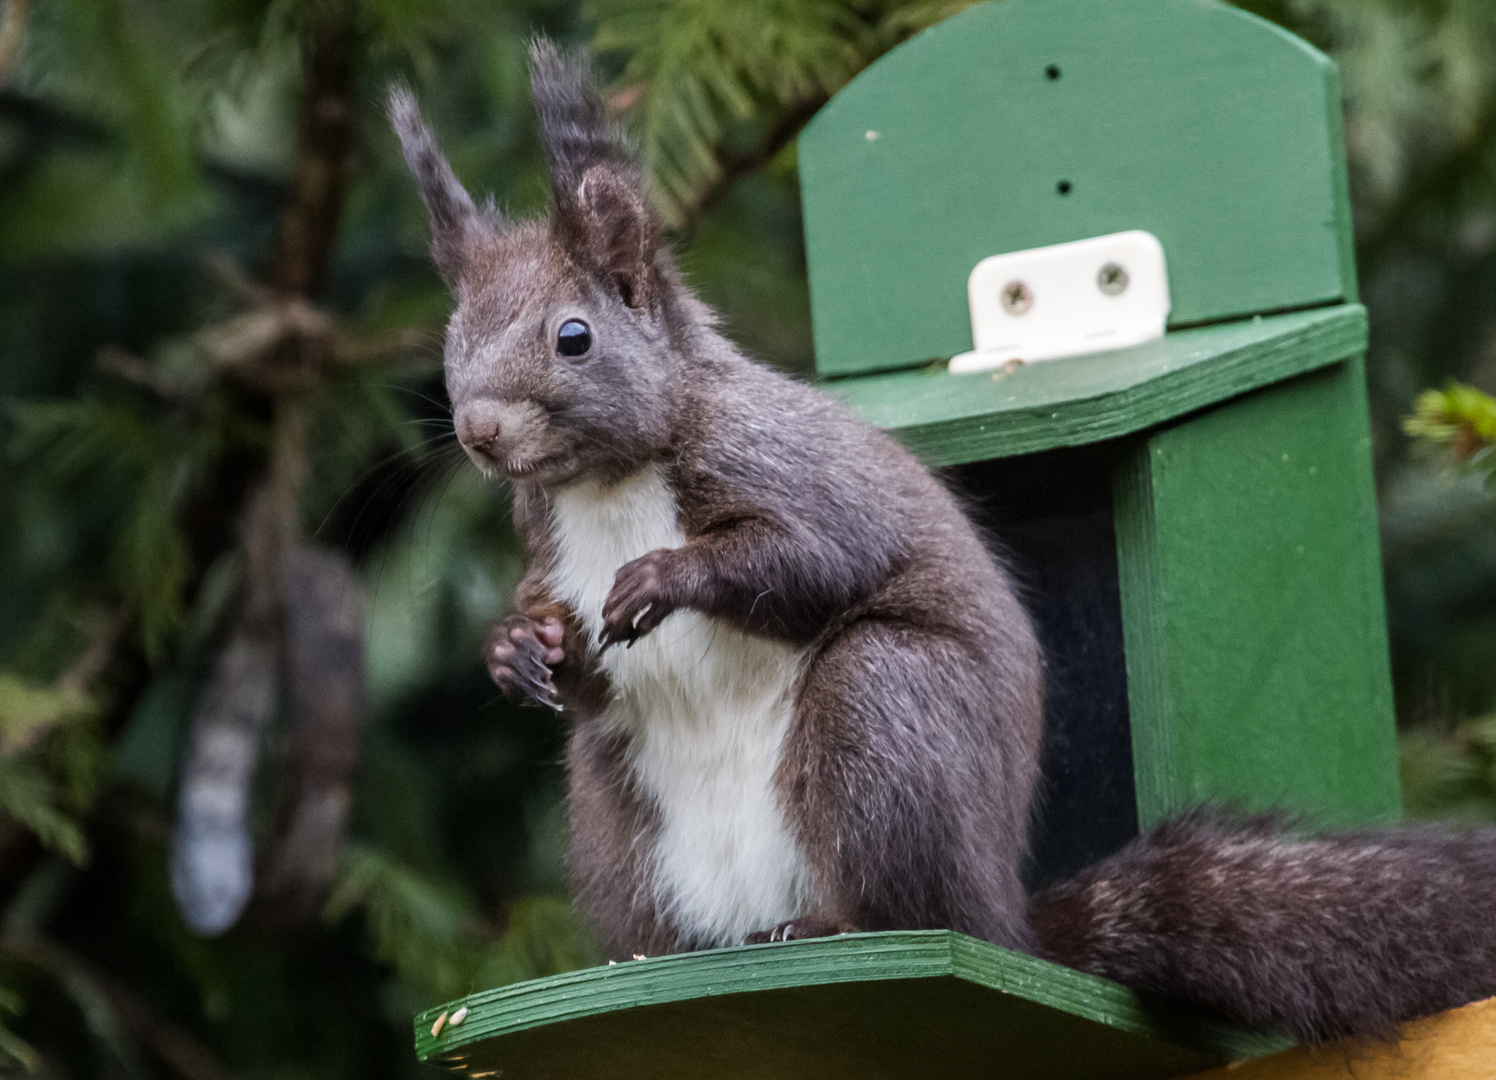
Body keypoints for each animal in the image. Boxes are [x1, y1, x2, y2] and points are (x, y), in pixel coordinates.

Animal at [391, 42, 1496, 1041]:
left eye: (573, 337)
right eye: (452, 342)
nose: (478, 431)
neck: (605, 485)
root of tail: (1004, 922)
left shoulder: (782, 467)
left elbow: (815, 561)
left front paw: (665, 575)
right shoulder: (549, 551)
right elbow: (574, 660)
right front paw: (517, 647)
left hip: (884, 713)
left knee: (901, 891)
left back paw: (834, 927)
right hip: (612, 815)